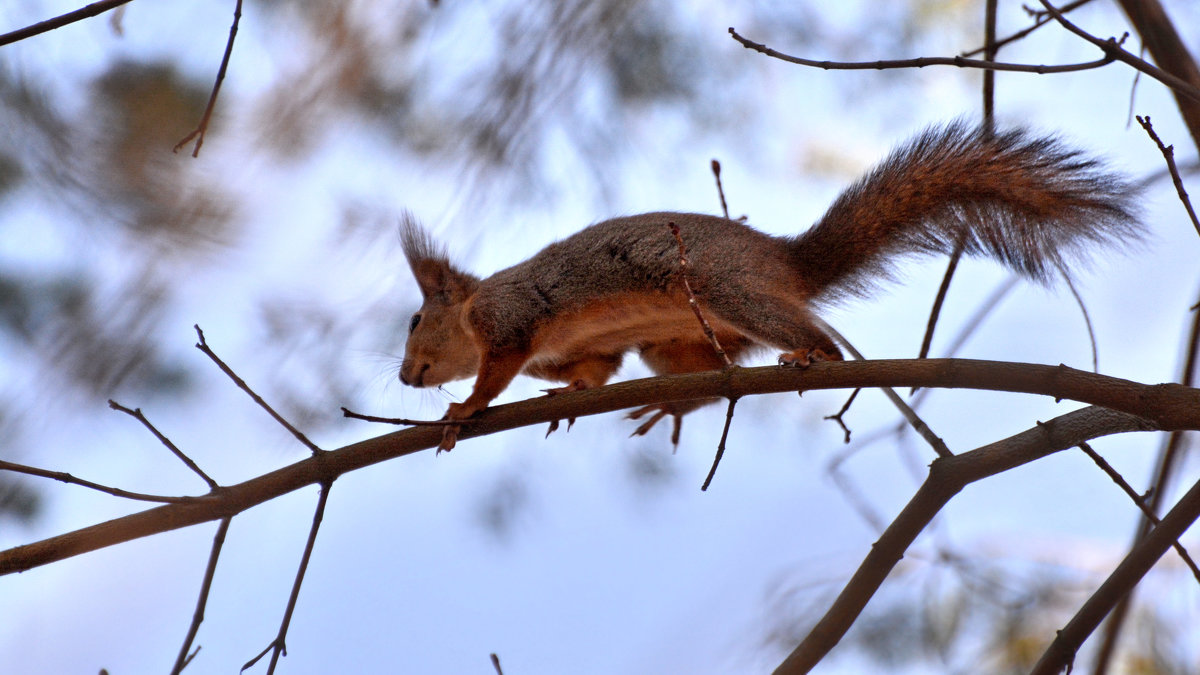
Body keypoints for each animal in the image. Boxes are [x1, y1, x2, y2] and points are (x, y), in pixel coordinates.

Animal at [398, 121, 1137, 446]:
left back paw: (812, 353)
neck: (471, 310)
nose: (405, 377)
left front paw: (465, 407)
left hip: (729, 292)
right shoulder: (585, 349)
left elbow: (499, 367)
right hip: (678, 344)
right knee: (707, 376)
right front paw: (570, 395)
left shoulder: (509, 317)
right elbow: (594, 370)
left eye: (413, 321)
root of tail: (788, 262)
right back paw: (673, 404)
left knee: (809, 336)